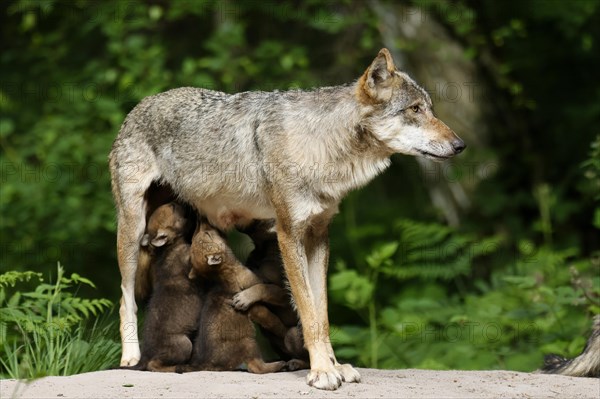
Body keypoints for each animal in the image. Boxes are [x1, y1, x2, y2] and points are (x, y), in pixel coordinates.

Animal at [109, 47, 464, 390]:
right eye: (415, 109)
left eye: (430, 108)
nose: (460, 145)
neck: (319, 145)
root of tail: (141, 104)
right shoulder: (288, 233)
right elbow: (307, 310)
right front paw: (321, 372)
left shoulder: (319, 236)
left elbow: (321, 313)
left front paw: (334, 366)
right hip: (131, 232)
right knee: (126, 299)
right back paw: (131, 358)